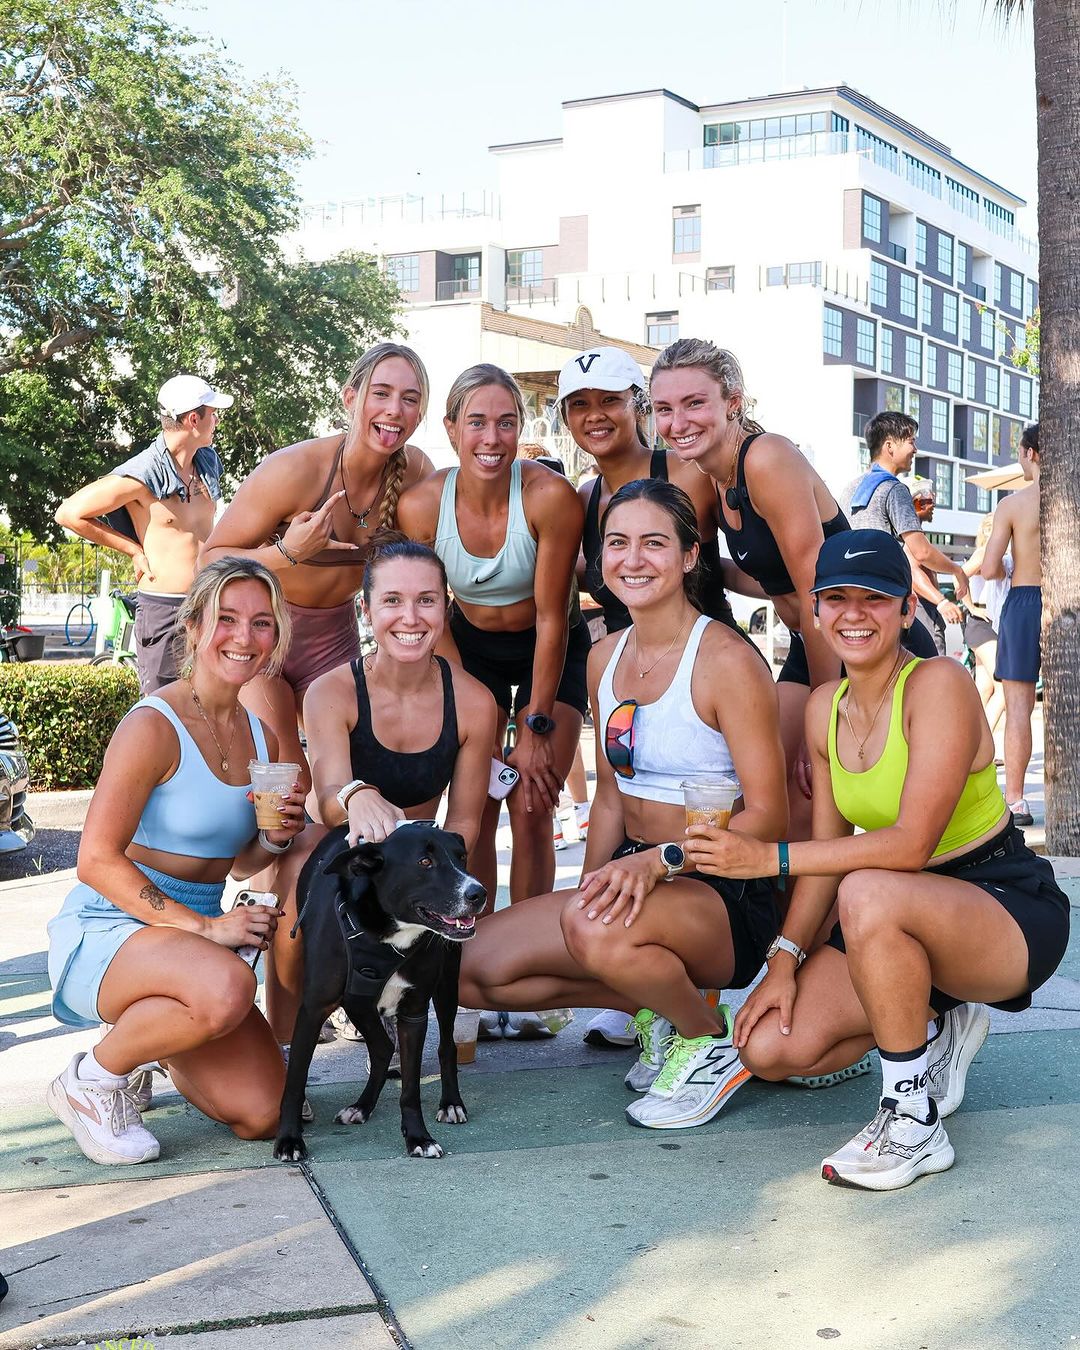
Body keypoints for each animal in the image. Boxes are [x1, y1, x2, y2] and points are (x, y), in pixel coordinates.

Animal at [272, 820, 486, 1161]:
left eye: (461, 857)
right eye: (424, 862)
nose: (479, 893)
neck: (386, 934)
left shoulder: (413, 1013)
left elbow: (411, 1088)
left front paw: (418, 1137)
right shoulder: (313, 1010)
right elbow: (295, 1081)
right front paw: (289, 1139)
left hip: (446, 985)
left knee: (445, 1046)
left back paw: (451, 1103)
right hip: (359, 1004)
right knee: (383, 1047)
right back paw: (361, 1107)